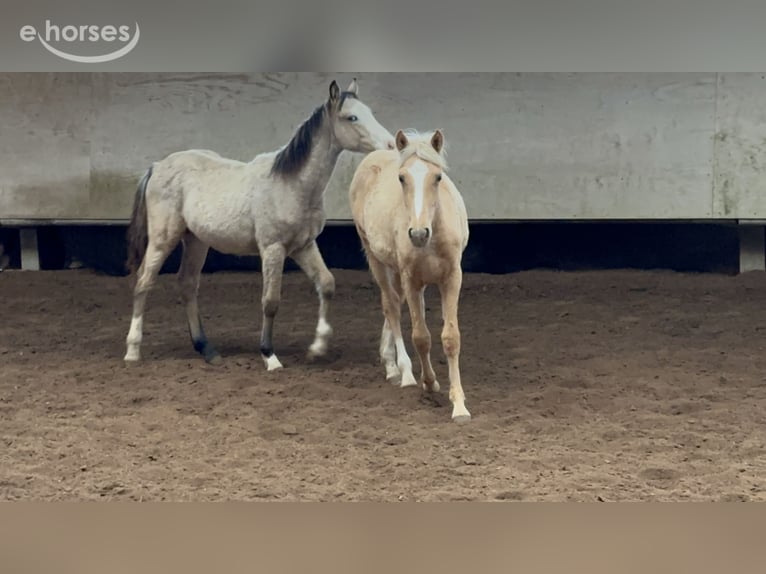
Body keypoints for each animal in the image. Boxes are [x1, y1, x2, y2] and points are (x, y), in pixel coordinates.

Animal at [124, 78, 396, 371]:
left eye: (369, 112)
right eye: (351, 117)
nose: (391, 144)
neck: (292, 184)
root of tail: (157, 166)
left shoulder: (304, 246)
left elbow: (327, 284)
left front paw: (317, 348)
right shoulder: (272, 249)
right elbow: (270, 301)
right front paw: (269, 356)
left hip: (196, 241)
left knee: (187, 285)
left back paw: (207, 349)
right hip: (163, 239)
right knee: (143, 282)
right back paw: (133, 351)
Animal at [348, 129, 472, 422]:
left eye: (437, 177)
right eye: (402, 178)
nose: (417, 234)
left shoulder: (452, 278)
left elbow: (450, 338)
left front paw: (459, 405)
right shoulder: (411, 279)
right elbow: (421, 337)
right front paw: (429, 383)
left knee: (397, 302)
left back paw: (390, 360)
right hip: (376, 257)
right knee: (391, 305)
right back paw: (399, 371)